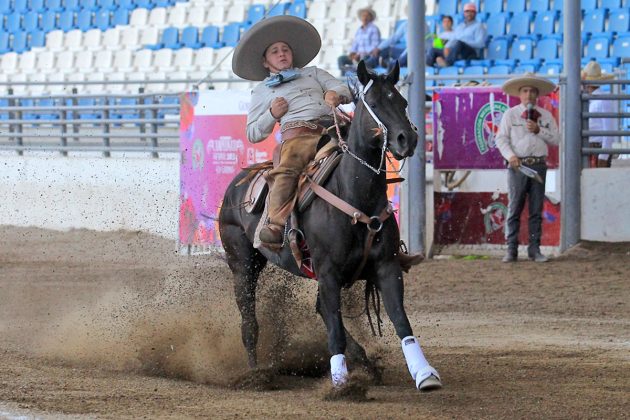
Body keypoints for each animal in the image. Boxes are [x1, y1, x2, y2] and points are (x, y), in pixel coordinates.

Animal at [220, 61, 442, 390]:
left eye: (403, 102)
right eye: (374, 103)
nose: (407, 139)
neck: (353, 193)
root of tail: (238, 183)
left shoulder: (386, 267)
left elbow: (401, 321)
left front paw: (424, 373)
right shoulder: (328, 272)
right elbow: (335, 329)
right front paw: (341, 383)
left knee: (320, 310)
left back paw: (366, 363)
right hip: (243, 264)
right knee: (249, 320)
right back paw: (256, 374)